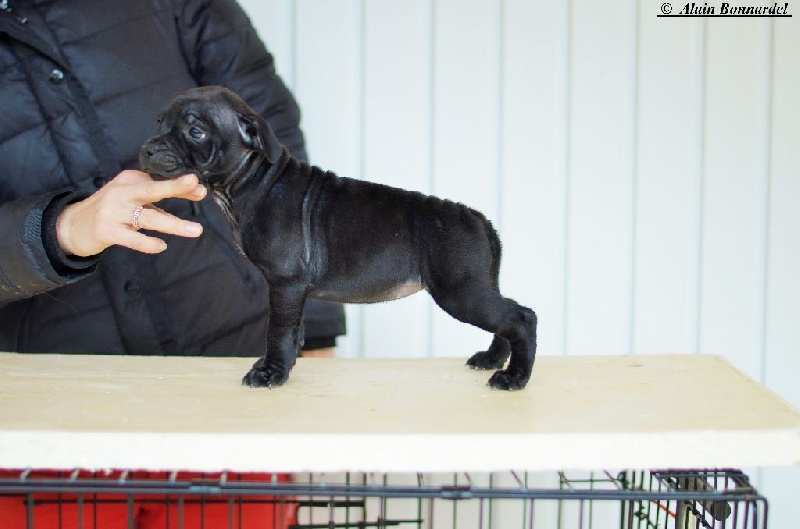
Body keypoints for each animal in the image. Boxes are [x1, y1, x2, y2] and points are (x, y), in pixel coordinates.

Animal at [140, 86, 537, 390]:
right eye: (158, 123)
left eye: (196, 132)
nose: (147, 149)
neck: (253, 179)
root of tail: (480, 220)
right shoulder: (293, 290)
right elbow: (293, 330)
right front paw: (284, 365)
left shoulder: (285, 283)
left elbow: (277, 331)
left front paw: (270, 373)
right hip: (476, 288)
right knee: (506, 318)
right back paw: (492, 360)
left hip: (461, 292)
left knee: (521, 317)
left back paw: (514, 377)